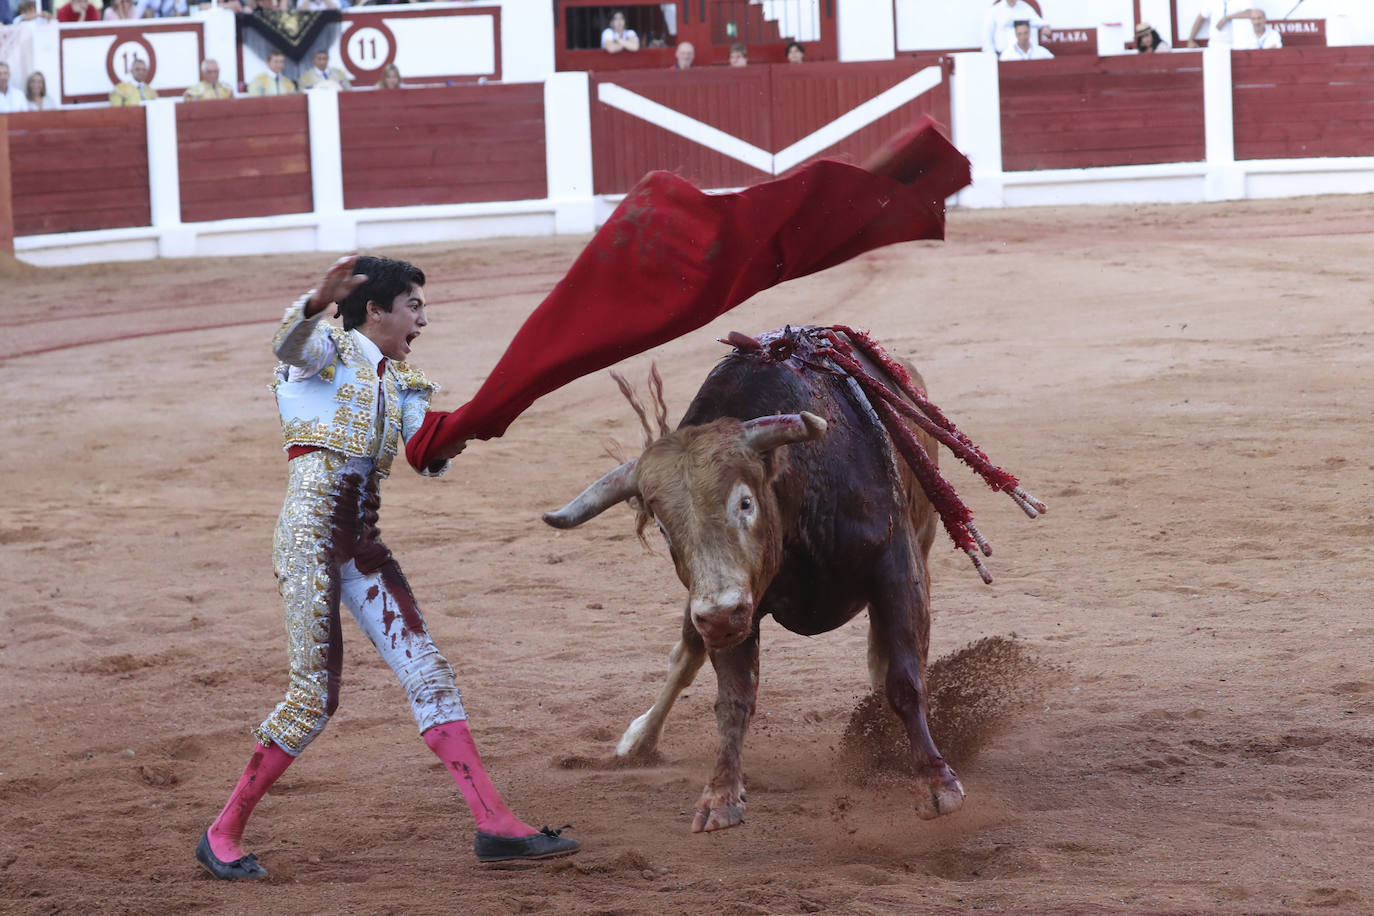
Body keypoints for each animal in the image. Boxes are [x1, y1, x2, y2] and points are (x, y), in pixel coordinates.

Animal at [538, 325, 1038, 834]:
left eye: (745, 503)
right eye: (661, 525)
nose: (719, 615)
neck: (800, 491)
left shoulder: (898, 571)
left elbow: (904, 678)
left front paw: (938, 784)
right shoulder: (736, 609)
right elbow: (733, 697)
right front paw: (720, 795)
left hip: (922, 542)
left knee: (885, 659)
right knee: (686, 656)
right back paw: (639, 741)